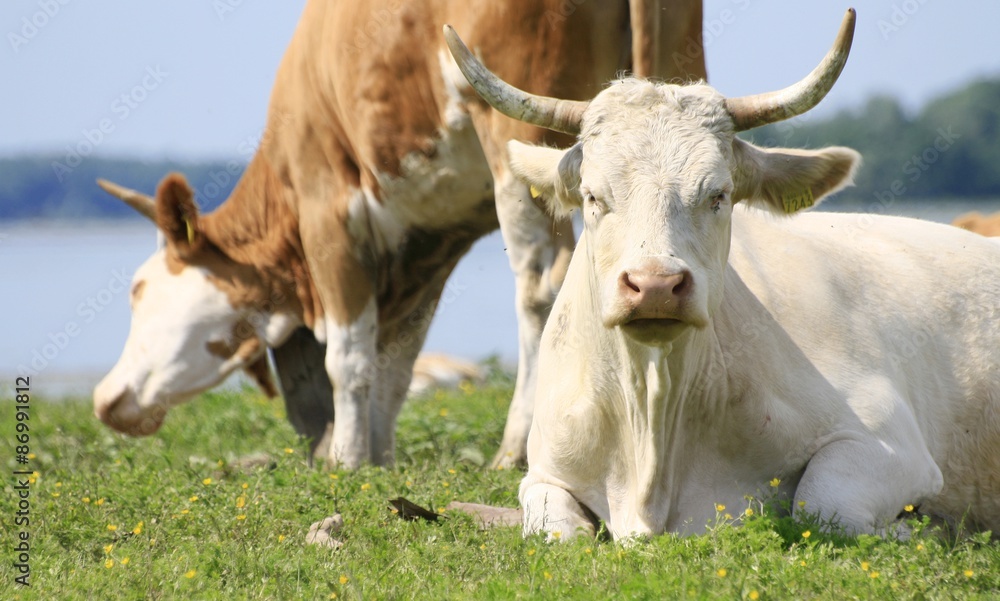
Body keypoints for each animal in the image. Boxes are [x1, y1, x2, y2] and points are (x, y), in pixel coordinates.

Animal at [92, 0, 708, 469]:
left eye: (138, 289)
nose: (105, 398)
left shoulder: (328, 211)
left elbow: (349, 355)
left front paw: (345, 458)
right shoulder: (425, 243)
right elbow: (396, 356)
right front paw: (379, 457)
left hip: (518, 132)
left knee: (540, 287)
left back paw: (515, 448)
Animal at [445, 8, 1000, 540]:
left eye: (719, 195)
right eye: (592, 196)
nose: (655, 286)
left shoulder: (889, 441)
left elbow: (823, 505)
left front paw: (921, 528)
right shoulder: (545, 471)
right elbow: (559, 530)